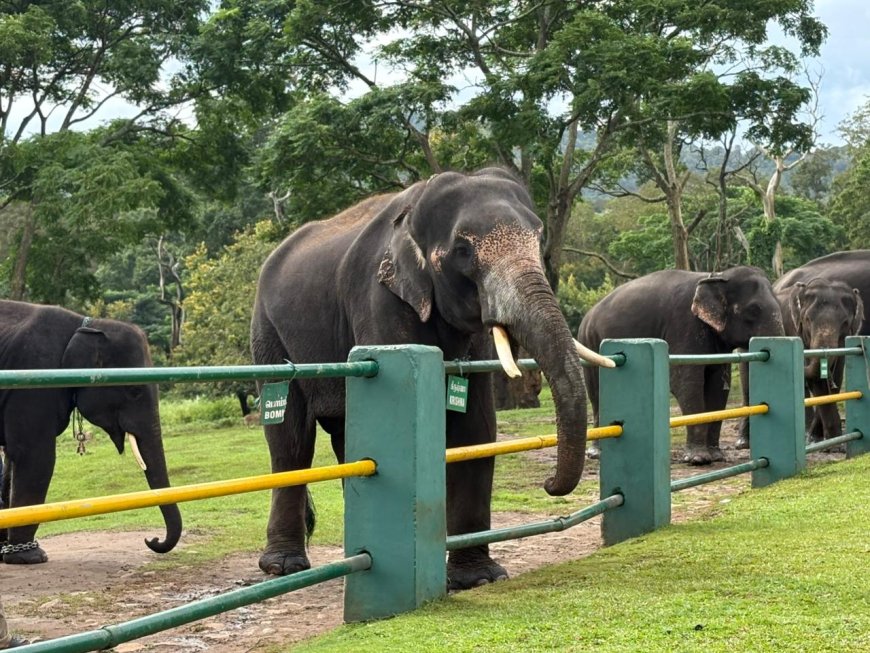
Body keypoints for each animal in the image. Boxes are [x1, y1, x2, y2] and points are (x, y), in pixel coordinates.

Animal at [0, 300, 181, 564]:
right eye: (134, 391)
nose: (152, 539)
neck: (86, 324)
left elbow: (11, 462)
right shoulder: (34, 380)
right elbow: (34, 456)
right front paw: (31, 557)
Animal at [250, 167, 612, 590]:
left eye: (539, 239)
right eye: (463, 251)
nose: (550, 485)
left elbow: (476, 427)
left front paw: (480, 579)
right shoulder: (379, 299)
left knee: (346, 436)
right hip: (268, 335)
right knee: (290, 440)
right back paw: (283, 567)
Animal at [578, 266, 785, 465]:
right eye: (753, 310)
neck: (717, 275)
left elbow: (718, 388)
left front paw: (716, 456)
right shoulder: (684, 325)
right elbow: (686, 383)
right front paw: (698, 459)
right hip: (590, 342)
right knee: (597, 394)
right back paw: (596, 453)